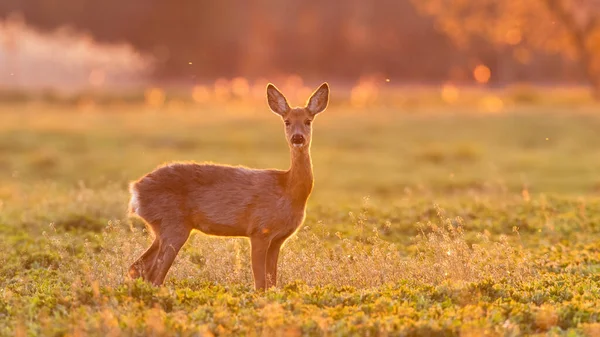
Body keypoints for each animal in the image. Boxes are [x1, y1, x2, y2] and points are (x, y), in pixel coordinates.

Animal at [128, 81, 330, 288]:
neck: (288, 190)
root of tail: (135, 190)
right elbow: (260, 284)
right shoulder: (259, 230)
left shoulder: (278, 239)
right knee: (155, 274)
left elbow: (272, 282)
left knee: (138, 267)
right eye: (287, 121)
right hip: (173, 224)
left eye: (308, 121)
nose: (297, 138)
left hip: (161, 228)